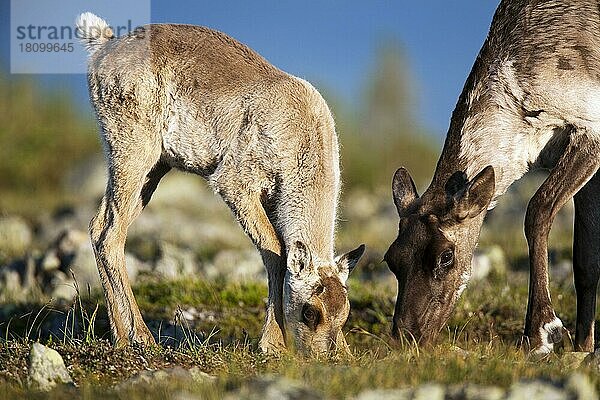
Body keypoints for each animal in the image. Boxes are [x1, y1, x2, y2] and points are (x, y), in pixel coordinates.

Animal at [77, 12, 364, 356]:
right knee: (109, 233)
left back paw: (120, 336)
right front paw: (272, 344)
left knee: (100, 227)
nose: (324, 358)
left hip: (153, 169)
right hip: (133, 152)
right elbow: (276, 252)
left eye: (345, 312)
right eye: (310, 312)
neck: (303, 136)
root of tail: (104, 43)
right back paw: (141, 337)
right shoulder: (234, 182)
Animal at [384, 0, 600, 356]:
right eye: (391, 259)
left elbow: (537, 211)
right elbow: (585, 259)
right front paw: (583, 346)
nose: (407, 338)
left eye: (446, 256)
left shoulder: (590, 131)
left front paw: (541, 332)